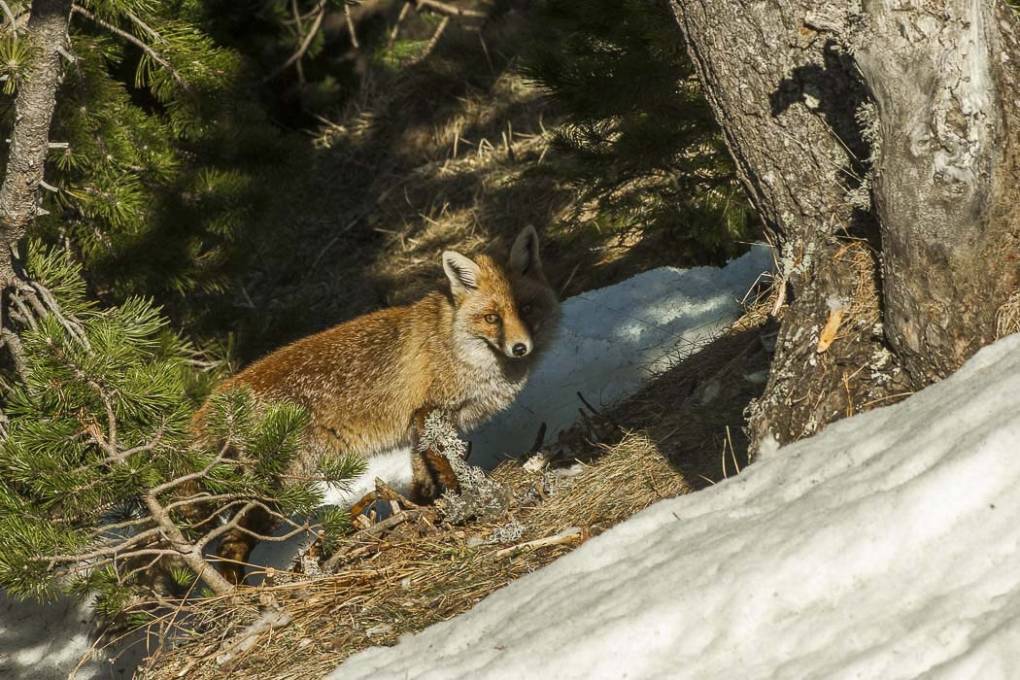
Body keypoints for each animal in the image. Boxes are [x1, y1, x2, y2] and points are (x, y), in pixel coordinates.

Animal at [206, 227, 558, 579]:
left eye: (526, 308)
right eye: (492, 318)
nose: (520, 347)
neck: (456, 346)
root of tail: (219, 399)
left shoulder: (418, 428)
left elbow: (422, 480)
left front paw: (427, 510)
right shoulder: (432, 414)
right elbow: (447, 468)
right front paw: (465, 498)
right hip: (278, 493)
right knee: (230, 543)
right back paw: (237, 590)